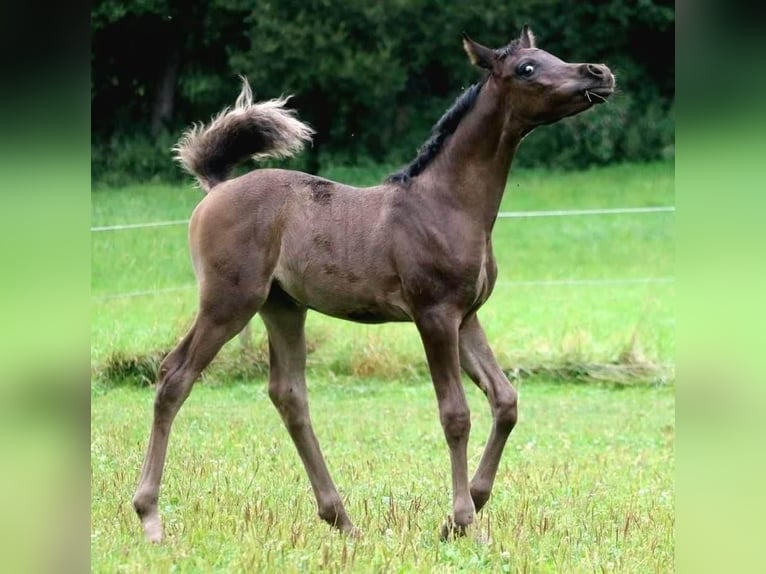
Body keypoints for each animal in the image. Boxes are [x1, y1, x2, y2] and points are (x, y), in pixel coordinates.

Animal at [130, 23, 612, 544]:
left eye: (551, 55)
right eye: (526, 67)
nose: (600, 72)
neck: (447, 204)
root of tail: (217, 187)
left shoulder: (466, 316)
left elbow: (505, 401)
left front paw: (465, 511)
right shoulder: (434, 315)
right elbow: (455, 414)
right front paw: (464, 520)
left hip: (283, 307)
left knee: (288, 394)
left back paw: (341, 518)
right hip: (228, 302)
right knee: (175, 376)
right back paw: (150, 516)